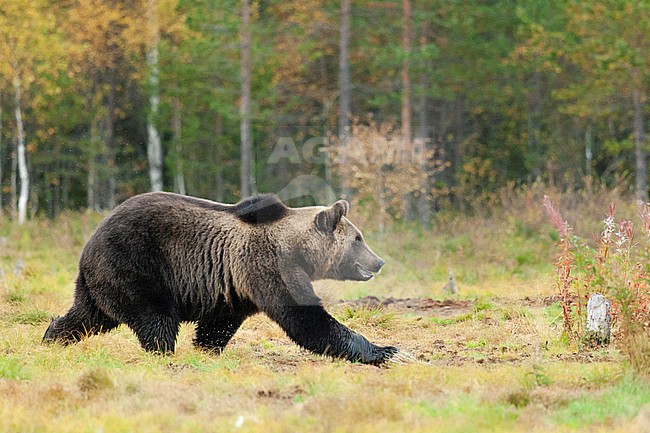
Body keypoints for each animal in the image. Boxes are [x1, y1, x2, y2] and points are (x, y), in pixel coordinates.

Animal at [43, 192, 398, 365]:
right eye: (358, 239)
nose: (379, 261)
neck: (299, 250)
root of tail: (90, 242)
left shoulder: (234, 285)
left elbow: (219, 323)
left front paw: (207, 348)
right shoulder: (270, 267)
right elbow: (306, 319)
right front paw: (384, 350)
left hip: (100, 282)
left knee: (87, 315)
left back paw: (51, 338)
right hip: (136, 264)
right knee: (156, 319)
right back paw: (162, 353)